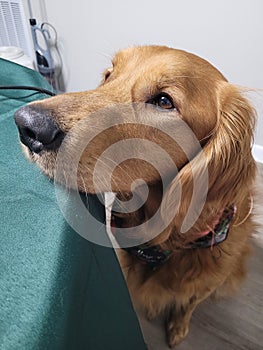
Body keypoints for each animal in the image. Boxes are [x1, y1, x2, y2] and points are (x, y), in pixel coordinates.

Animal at [14, 45, 258, 348]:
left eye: (164, 101)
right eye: (109, 75)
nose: (27, 126)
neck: (166, 243)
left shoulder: (207, 283)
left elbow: (189, 304)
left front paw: (178, 326)